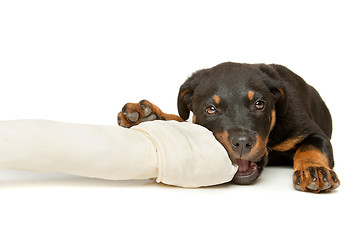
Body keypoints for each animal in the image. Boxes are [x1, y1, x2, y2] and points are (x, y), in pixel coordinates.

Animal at [118, 62, 340, 193]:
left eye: (259, 104)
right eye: (211, 109)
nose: (242, 143)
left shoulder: (311, 131)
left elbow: (311, 148)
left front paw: (314, 170)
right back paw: (147, 116)